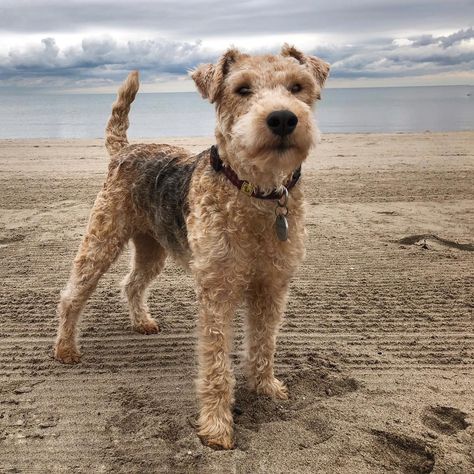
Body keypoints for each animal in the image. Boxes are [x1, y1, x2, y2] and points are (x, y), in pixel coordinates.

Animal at [53, 44, 330, 448]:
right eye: (242, 89)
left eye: (298, 86)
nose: (282, 119)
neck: (257, 193)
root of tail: (124, 150)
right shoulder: (218, 292)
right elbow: (217, 365)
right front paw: (216, 427)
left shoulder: (272, 285)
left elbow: (264, 343)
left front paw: (266, 387)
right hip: (102, 239)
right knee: (72, 295)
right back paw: (65, 349)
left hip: (153, 246)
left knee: (132, 283)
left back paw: (143, 323)